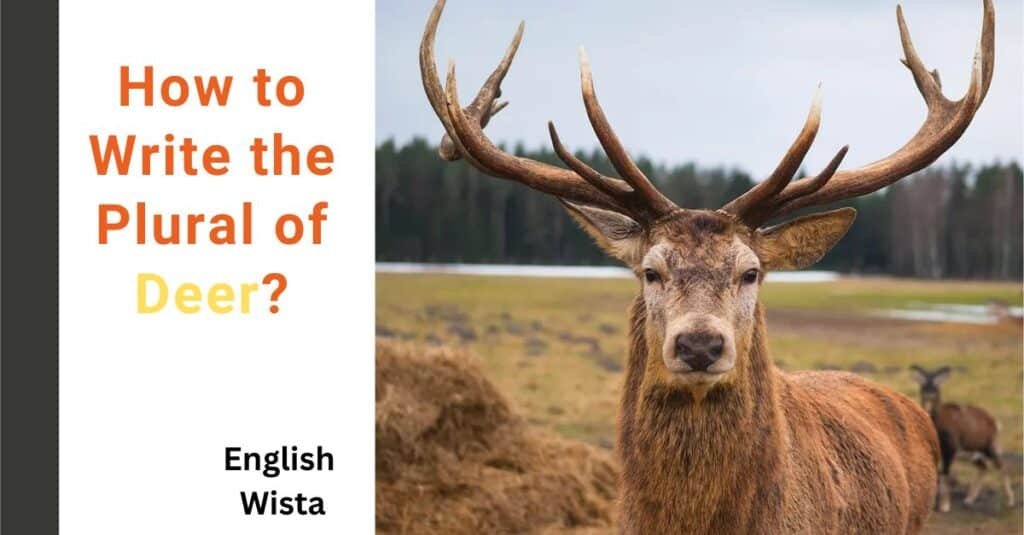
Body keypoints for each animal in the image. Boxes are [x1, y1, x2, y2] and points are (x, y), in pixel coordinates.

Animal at [911, 365, 1015, 513]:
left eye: (936, 385)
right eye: (923, 385)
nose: (929, 395)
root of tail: (993, 421)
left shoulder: (950, 451)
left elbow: (945, 474)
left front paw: (944, 506)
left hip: (990, 448)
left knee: (1001, 466)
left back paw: (1010, 502)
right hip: (973, 454)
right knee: (983, 467)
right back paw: (968, 500)